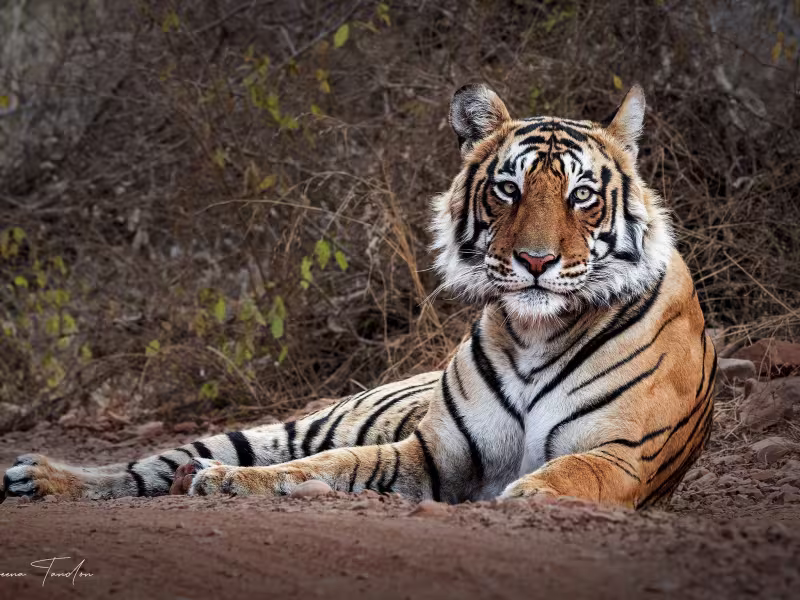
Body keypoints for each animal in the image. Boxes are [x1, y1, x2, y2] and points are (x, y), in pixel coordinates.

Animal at [2, 83, 716, 509]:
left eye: (581, 195)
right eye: (508, 190)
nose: (535, 262)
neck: (536, 330)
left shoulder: (623, 455)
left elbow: (569, 473)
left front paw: (522, 495)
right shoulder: (433, 456)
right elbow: (337, 463)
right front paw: (229, 484)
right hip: (288, 424)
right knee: (144, 466)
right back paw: (38, 476)